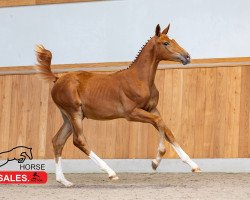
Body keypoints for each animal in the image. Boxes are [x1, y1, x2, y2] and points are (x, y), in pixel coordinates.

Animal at [34, 24, 201, 187]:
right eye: (165, 43)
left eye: (173, 40)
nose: (187, 56)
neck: (139, 78)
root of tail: (57, 79)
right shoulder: (132, 113)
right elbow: (160, 123)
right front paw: (155, 161)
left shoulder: (152, 109)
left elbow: (167, 130)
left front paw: (193, 165)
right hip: (74, 113)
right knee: (79, 140)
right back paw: (110, 172)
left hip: (69, 117)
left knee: (57, 141)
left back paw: (64, 181)